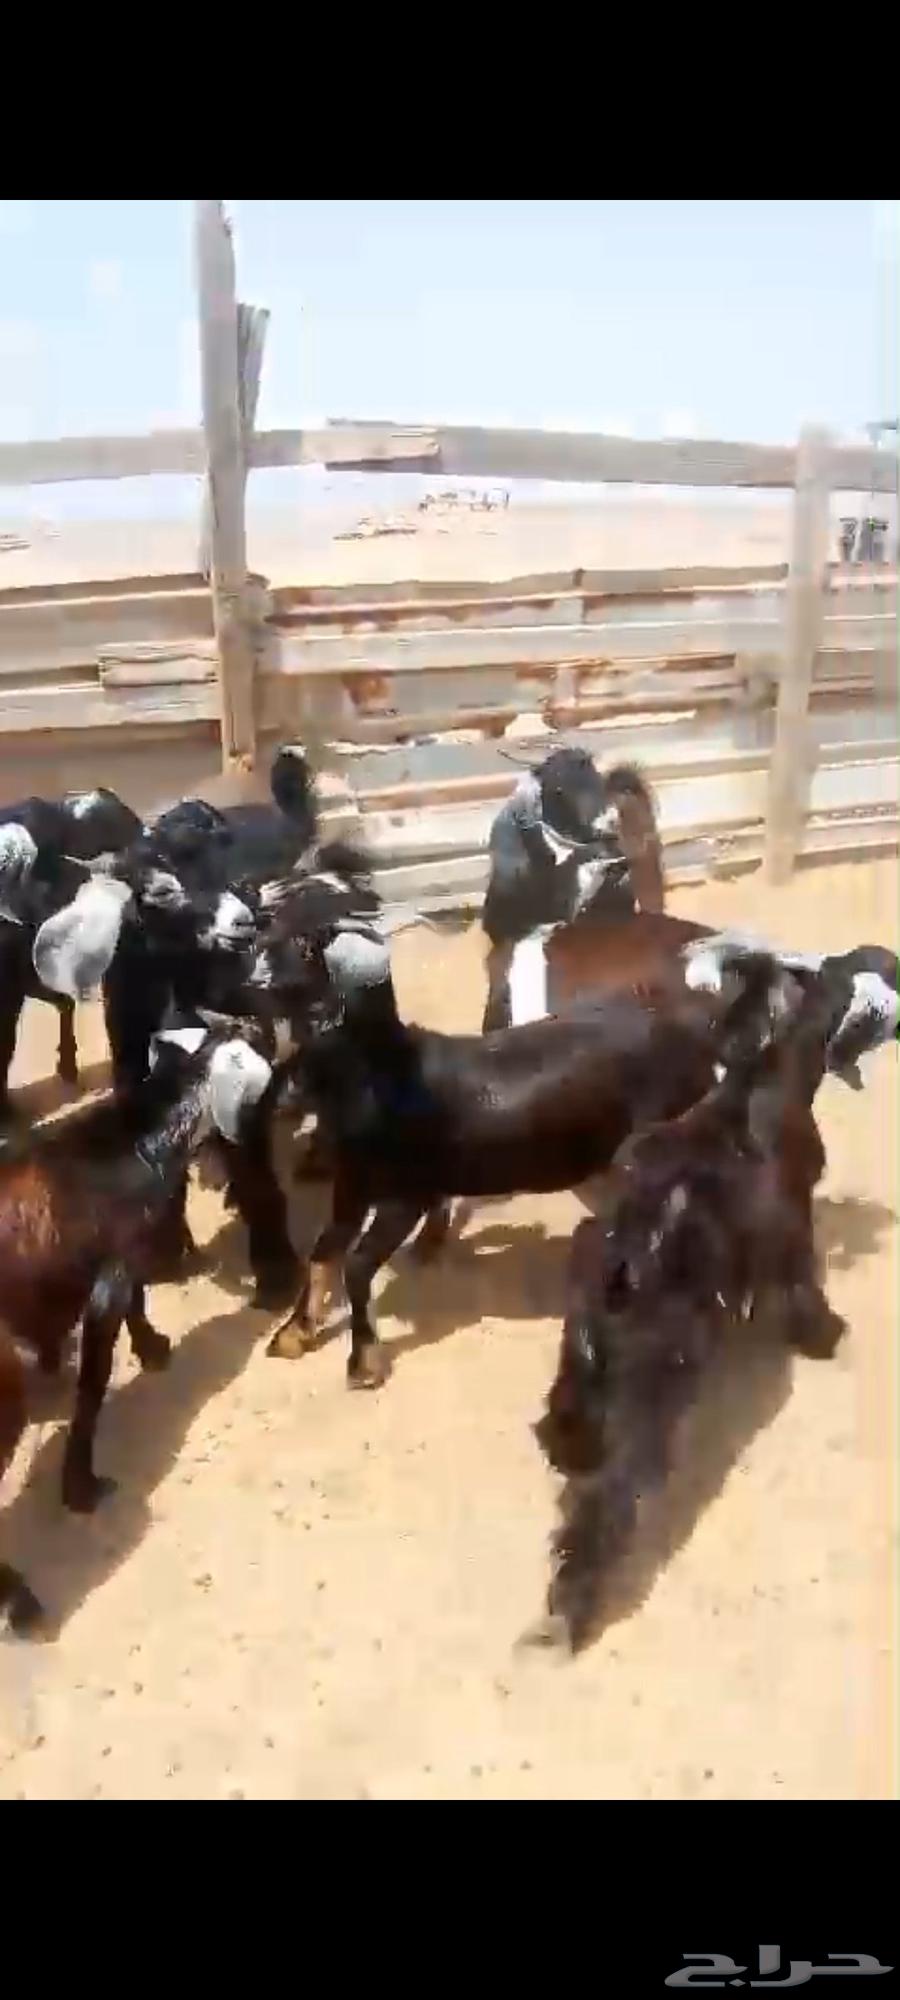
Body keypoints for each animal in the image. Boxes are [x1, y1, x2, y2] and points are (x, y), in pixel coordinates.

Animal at [0, 1014, 274, 1633]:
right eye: (250, 1036)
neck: (138, 1142)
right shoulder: (113, 1272)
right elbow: (95, 1380)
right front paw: (80, 1486)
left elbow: (137, 1310)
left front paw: (153, 1348)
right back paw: (21, 1600)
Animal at [255, 921, 778, 1388]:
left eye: (297, 957)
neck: (374, 1076)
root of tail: (702, 1036)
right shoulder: (352, 1184)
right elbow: (324, 1252)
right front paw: (293, 1334)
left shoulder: (406, 1195)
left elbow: (358, 1266)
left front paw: (364, 1363)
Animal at [534, 954, 852, 1652]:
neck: (754, 1079)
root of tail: (625, 1260)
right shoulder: (794, 1232)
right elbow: (805, 1294)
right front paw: (826, 1337)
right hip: (653, 1394)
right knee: (608, 1505)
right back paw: (575, 1609)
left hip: (581, 1355)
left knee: (562, 1422)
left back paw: (568, 1452)